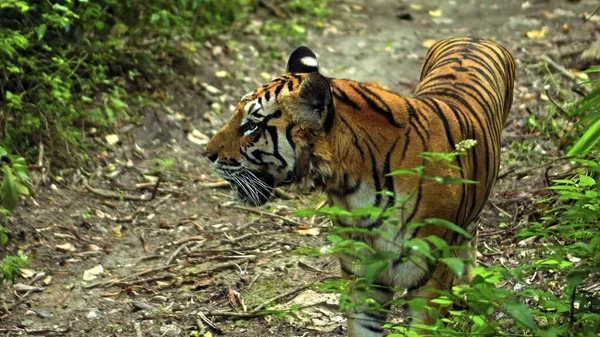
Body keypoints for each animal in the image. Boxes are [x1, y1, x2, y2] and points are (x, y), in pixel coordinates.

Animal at [205, 36, 516, 334]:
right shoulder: (364, 275)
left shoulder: (429, 281)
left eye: (251, 126)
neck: (354, 189)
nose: (207, 154)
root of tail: (474, 37)